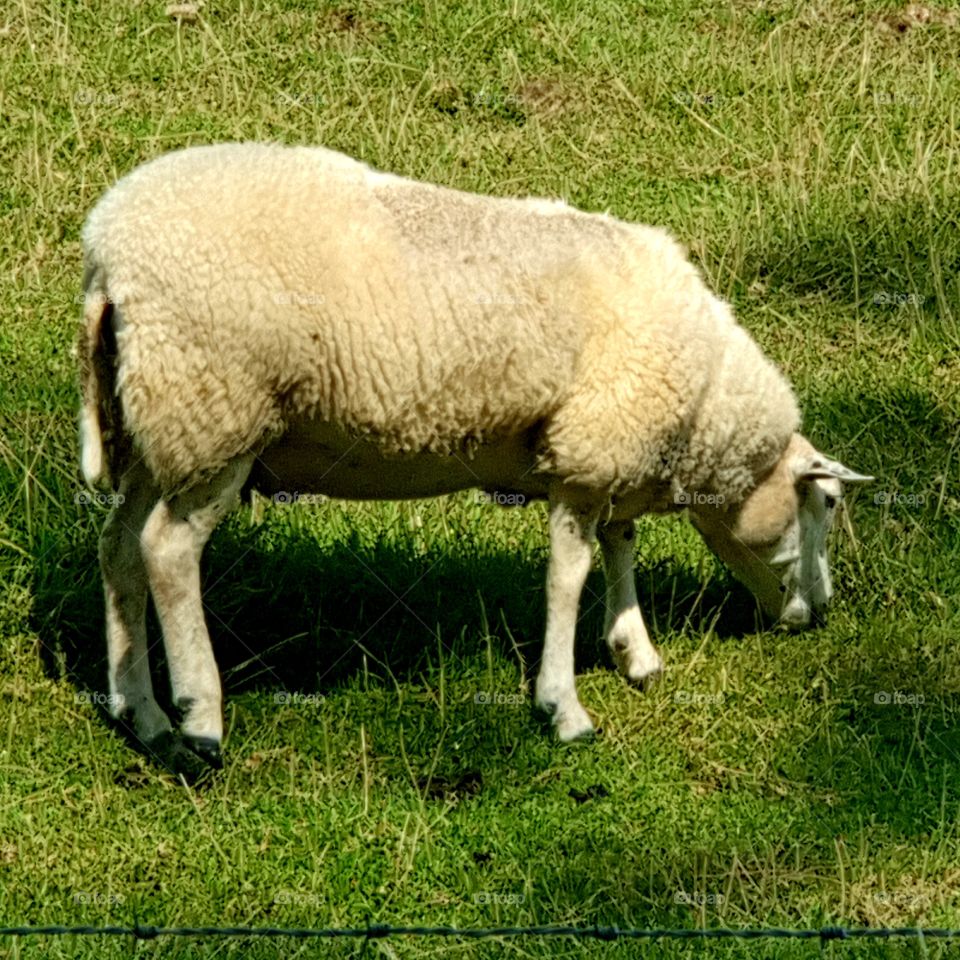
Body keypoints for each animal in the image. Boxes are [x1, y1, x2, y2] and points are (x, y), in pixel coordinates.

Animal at [78, 142, 872, 775]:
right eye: (827, 501)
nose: (821, 612)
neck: (706, 399)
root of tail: (109, 252)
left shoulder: (609, 452)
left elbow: (622, 545)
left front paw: (635, 652)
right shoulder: (588, 453)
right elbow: (568, 578)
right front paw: (564, 708)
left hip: (152, 426)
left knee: (119, 547)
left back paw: (140, 712)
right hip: (216, 417)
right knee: (167, 553)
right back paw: (199, 721)